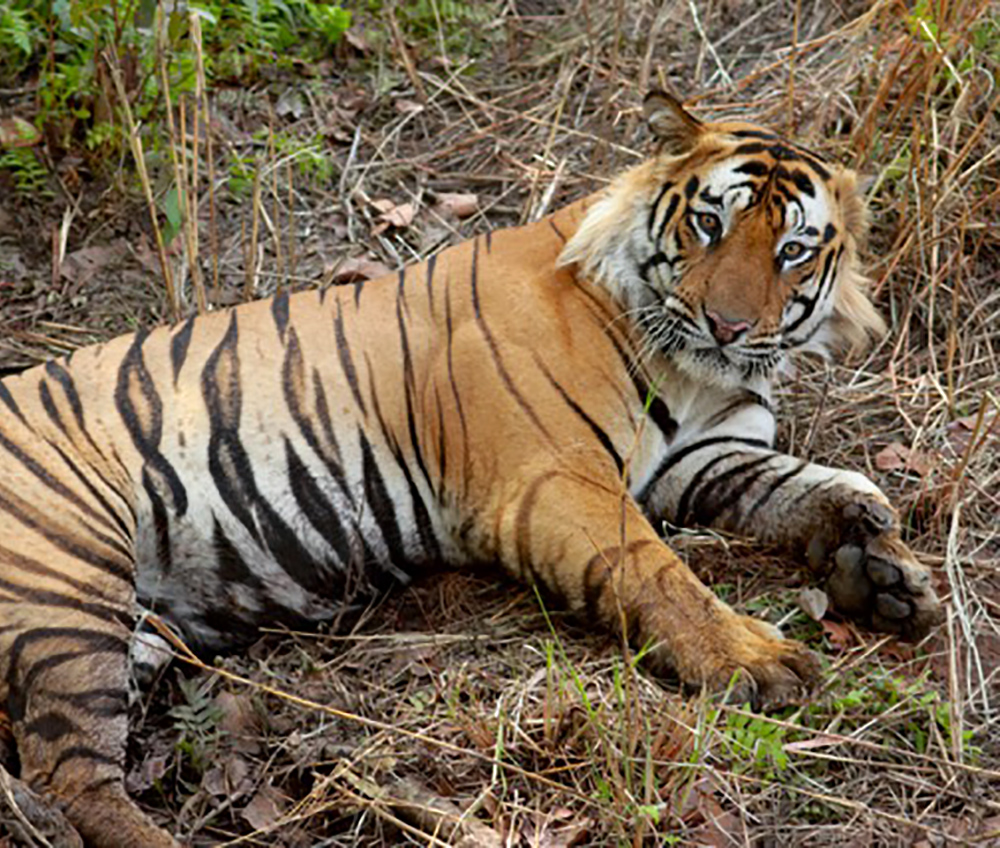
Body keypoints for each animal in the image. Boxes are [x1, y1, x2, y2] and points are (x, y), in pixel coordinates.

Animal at [0, 93, 940, 848]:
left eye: (792, 251)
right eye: (709, 224)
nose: (729, 326)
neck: (692, 369)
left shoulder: (703, 456)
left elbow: (814, 485)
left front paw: (881, 571)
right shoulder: (555, 478)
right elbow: (661, 572)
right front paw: (756, 657)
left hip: (140, 627)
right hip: (69, 587)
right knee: (69, 777)